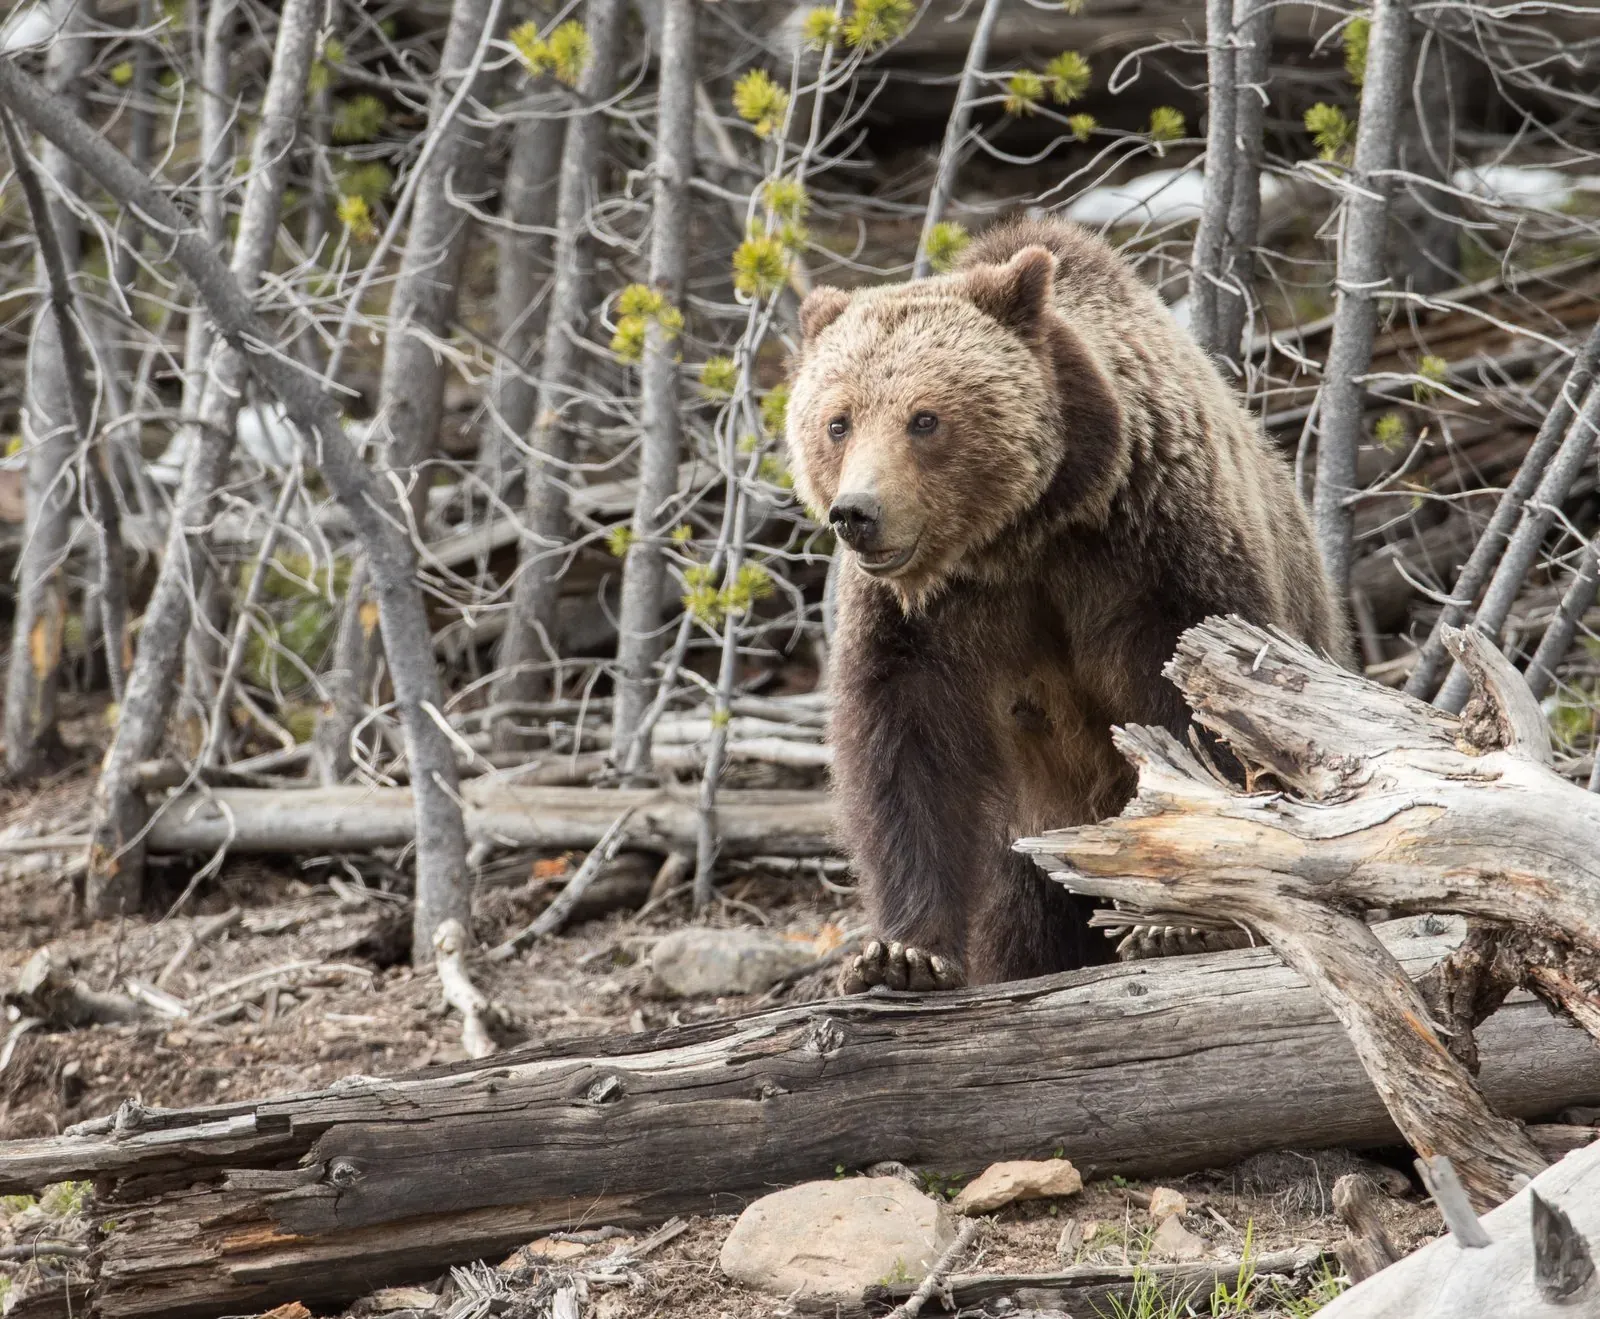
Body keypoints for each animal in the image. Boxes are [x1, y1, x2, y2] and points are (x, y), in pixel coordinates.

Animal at [783, 214, 1352, 994]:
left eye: (924, 418)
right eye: (837, 421)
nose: (857, 513)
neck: (1022, 534)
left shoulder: (1153, 553)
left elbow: (1201, 715)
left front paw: (1178, 923)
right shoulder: (923, 618)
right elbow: (906, 751)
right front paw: (903, 954)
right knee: (1023, 918)